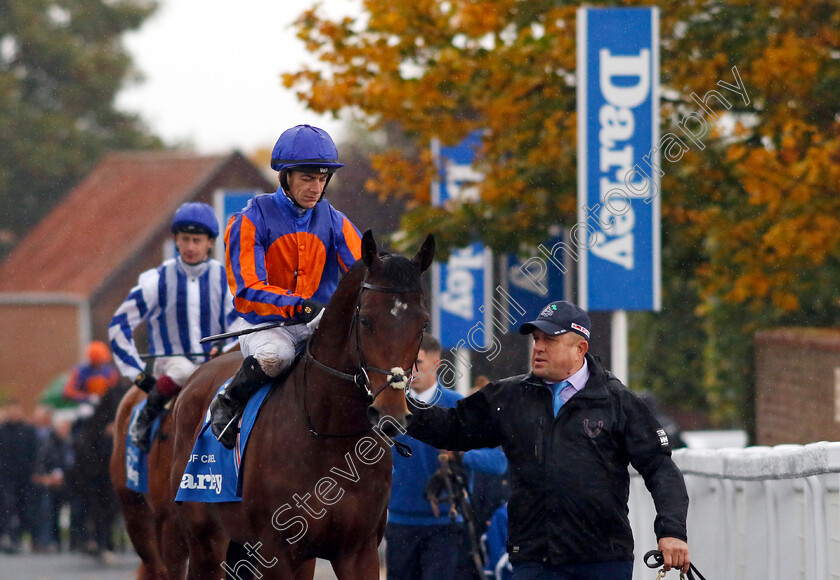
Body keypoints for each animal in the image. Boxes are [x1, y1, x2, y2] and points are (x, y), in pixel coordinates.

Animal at [170, 232, 434, 580]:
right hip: (205, 542)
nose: (390, 413)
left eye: (424, 323)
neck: (329, 434)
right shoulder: (276, 551)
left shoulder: (359, 551)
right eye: (365, 319)